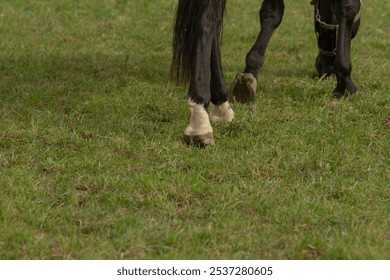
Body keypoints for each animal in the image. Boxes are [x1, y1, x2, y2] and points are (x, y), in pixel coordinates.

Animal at [172, 0, 362, 147]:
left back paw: (220, 104)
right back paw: (200, 121)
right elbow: (348, 7)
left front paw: (249, 74)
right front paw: (345, 82)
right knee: (207, 22)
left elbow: (272, 11)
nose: (324, 67)